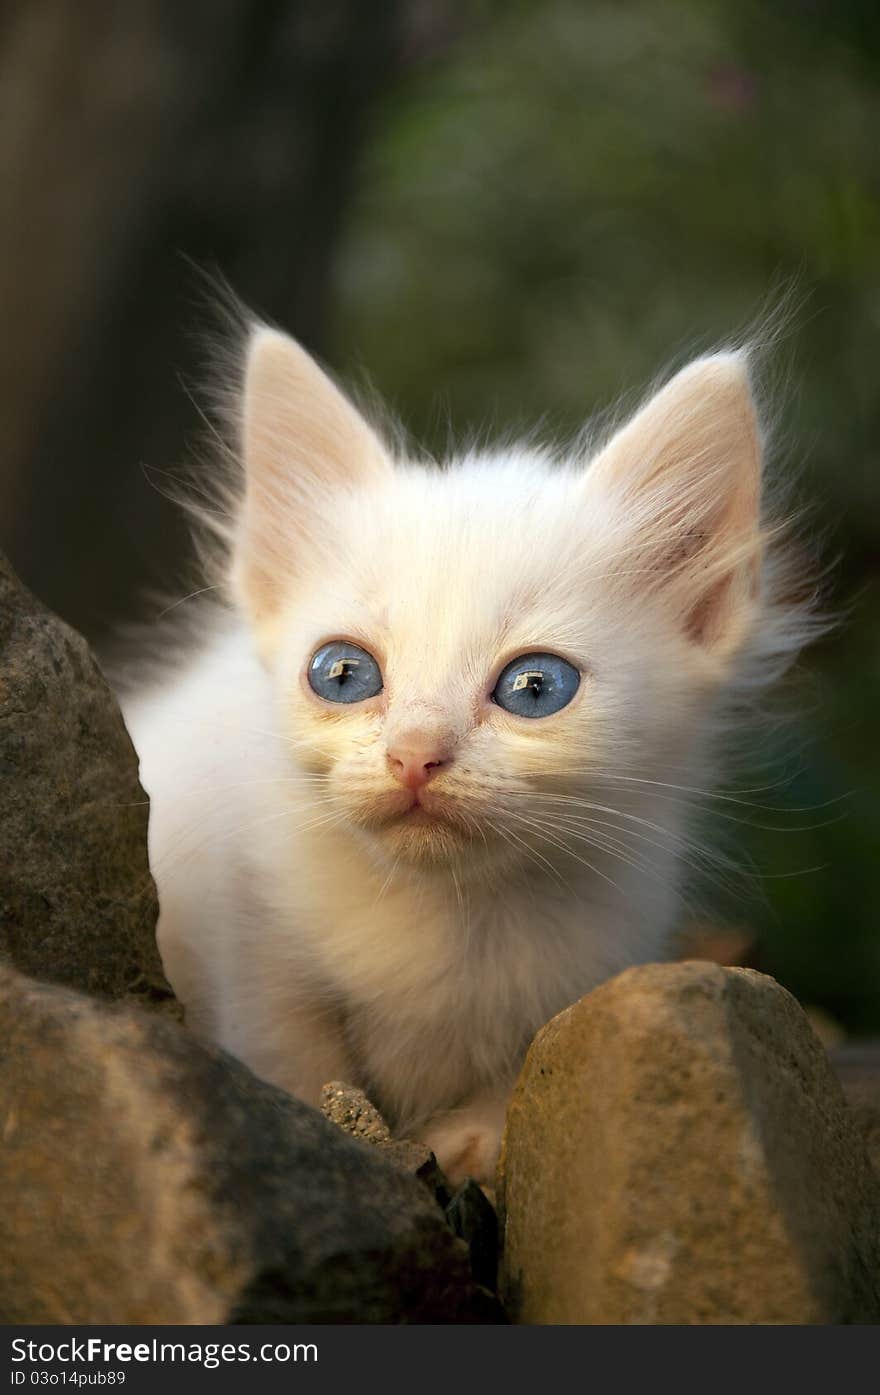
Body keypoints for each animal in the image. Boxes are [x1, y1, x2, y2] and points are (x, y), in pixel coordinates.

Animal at [122, 323, 814, 1177]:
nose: (415, 754)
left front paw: (474, 1141)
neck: (451, 913)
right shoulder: (250, 934)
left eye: (535, 687)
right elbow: (289, 1049)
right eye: (342, 673)